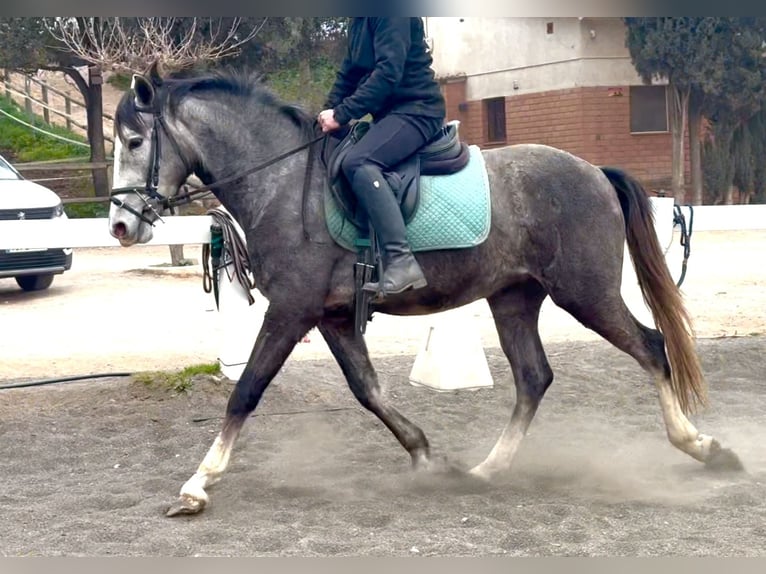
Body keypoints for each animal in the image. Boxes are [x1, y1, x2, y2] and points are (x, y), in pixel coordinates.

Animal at [108, 66, 744, 516]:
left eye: (135, 142)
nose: (119, 226)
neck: (283, 183)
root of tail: (593, 171)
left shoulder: (292, 310)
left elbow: (246, 391)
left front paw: (197, 485)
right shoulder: (330, 316)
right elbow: (368, 391)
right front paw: (427, 455)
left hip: (586, 294)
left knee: (652, 347)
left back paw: (704, 448)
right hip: (514, 298)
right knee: (534, 377)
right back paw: (485, 470)